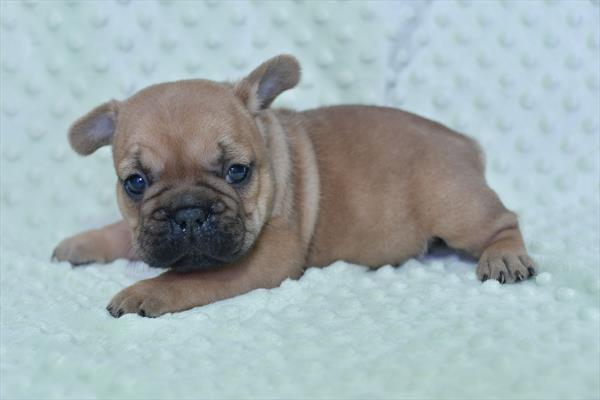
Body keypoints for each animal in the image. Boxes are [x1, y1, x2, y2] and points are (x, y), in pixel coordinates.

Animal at [52, 54, 536, 318]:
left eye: (238, 172)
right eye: (135, 183)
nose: (188, 212)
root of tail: (464, 142)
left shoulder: (267, 259)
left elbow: (191, 276)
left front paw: (144, 292)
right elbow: (124, 233)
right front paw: (83, 243)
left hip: (456, 207)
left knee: (504, 221)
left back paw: (505, 257)